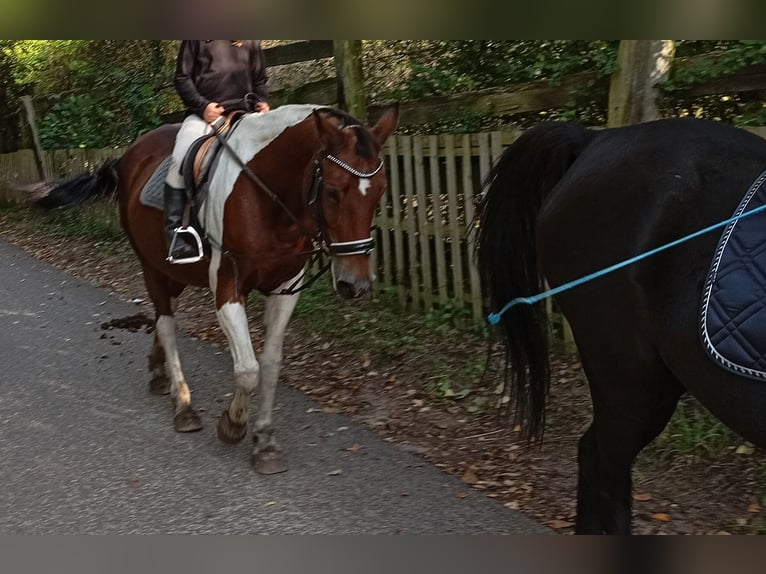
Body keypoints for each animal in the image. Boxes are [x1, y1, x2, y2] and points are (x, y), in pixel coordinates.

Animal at [30, 103, 402, 472]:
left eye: (381, 191)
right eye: (333, 192)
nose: (356, 284)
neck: (267, 195)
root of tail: (129, 155)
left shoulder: (287, 287)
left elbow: (270, 365)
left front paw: (264, 440)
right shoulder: (227, 287)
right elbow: (248, 369)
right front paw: (233, 425)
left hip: (175, 274)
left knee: (163, 319)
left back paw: (158, 371)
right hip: (152, 267)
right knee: (166, 323)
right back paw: (183, 404)